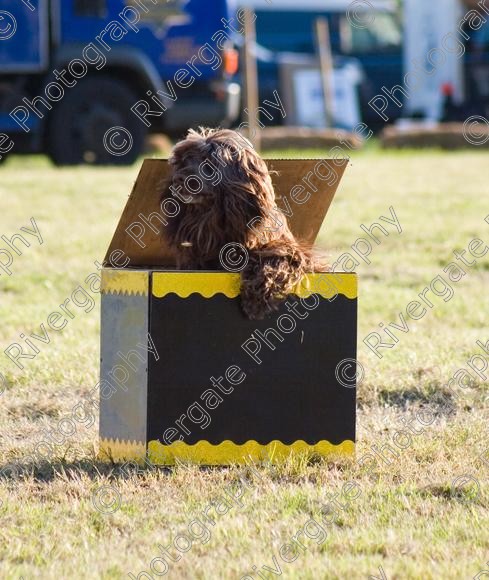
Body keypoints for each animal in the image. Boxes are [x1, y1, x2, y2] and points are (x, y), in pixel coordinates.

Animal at [161, 127, 320, 320]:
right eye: (184, 160)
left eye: (208, 161)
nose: (177, 179)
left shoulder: (291, 250)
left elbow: (276, 260)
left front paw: (256, 301)